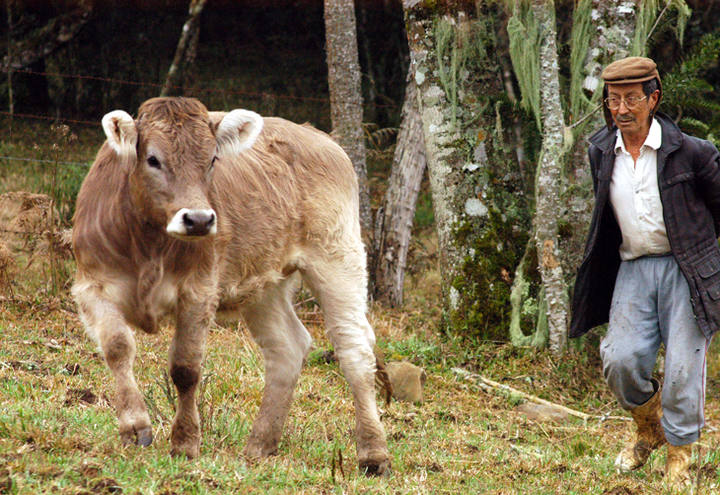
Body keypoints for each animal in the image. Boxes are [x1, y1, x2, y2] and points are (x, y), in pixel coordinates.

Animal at [71, 98, 390, 476]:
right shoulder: (92, 286)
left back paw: (373, 454)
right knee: (287, 347)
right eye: (152, 159)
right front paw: (135, 427)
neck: (147, 241)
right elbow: (117, 347)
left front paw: (185, 442)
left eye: (212, 160)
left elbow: (185, 368)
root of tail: (319, 136)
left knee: (354, 350)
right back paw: (261, 444)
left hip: (338, 256)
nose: (198, 219)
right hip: (266, 284)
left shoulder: (199, 291)